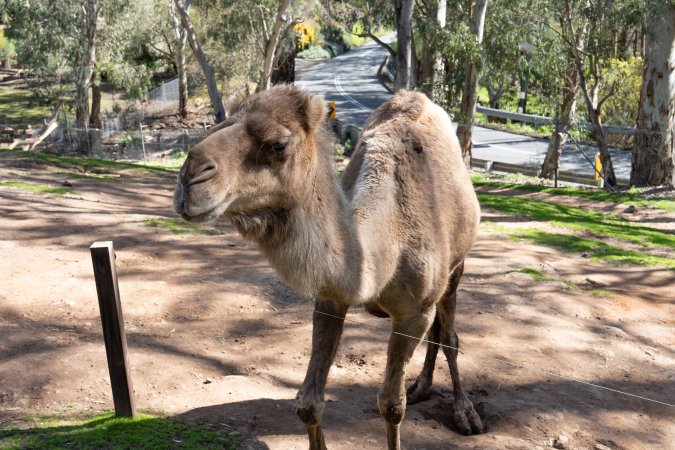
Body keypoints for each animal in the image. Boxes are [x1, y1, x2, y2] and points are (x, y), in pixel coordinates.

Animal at [173, 84, 485, 449]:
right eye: (217, 125)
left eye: (278, 145)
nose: (189, 178)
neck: (386, 245)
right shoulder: (331, 298)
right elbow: (309, 403)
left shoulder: (415, 312)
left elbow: (392, 406)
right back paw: (422, 387)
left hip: (456, 267)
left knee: (449, 334)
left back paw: (465, 413)